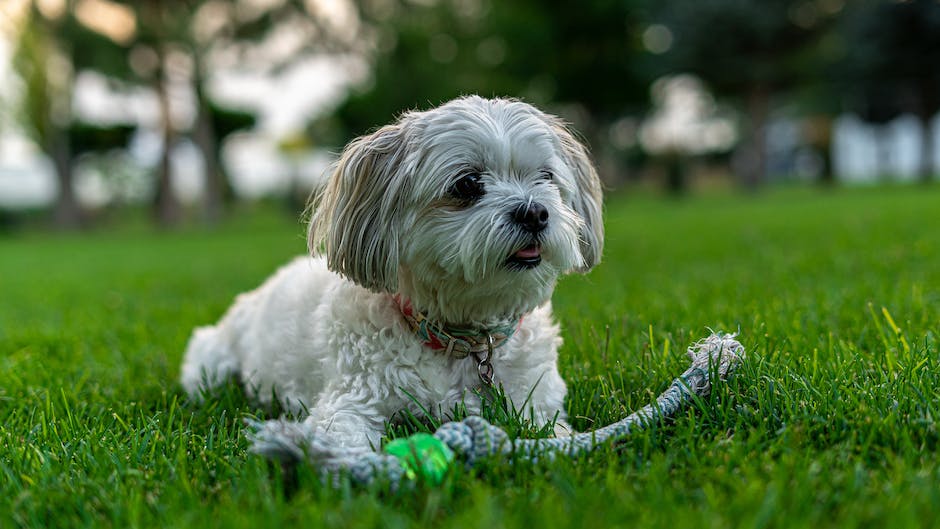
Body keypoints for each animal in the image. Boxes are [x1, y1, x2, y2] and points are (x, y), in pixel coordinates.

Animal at [181, 96, 604, 450]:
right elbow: (343, 441)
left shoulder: (536, 403)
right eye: (467, 183)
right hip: (210, 362)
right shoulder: (349, 402)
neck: (462, 341)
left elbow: (556, 434)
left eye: (546, 177)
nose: (534, 212)